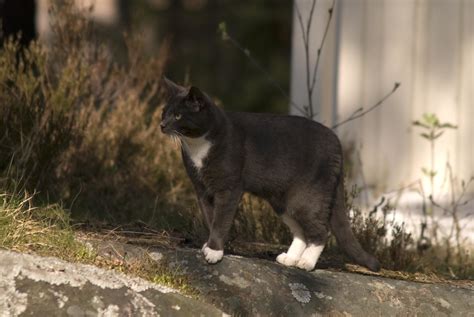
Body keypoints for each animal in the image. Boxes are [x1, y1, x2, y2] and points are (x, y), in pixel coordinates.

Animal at [161, 78, 380, 270]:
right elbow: (210, 217)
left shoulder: (229, 188)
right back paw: (289, 259)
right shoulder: (202, 189)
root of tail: (337, 142)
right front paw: (209, 246)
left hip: (308, 196)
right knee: (300, 231)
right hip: (283, 201)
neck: (198, 146)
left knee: (320, 230)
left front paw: (214, 252)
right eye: (164, 112)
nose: (162, 124)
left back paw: (306, 263)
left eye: (178, 116)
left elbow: (221, 219)